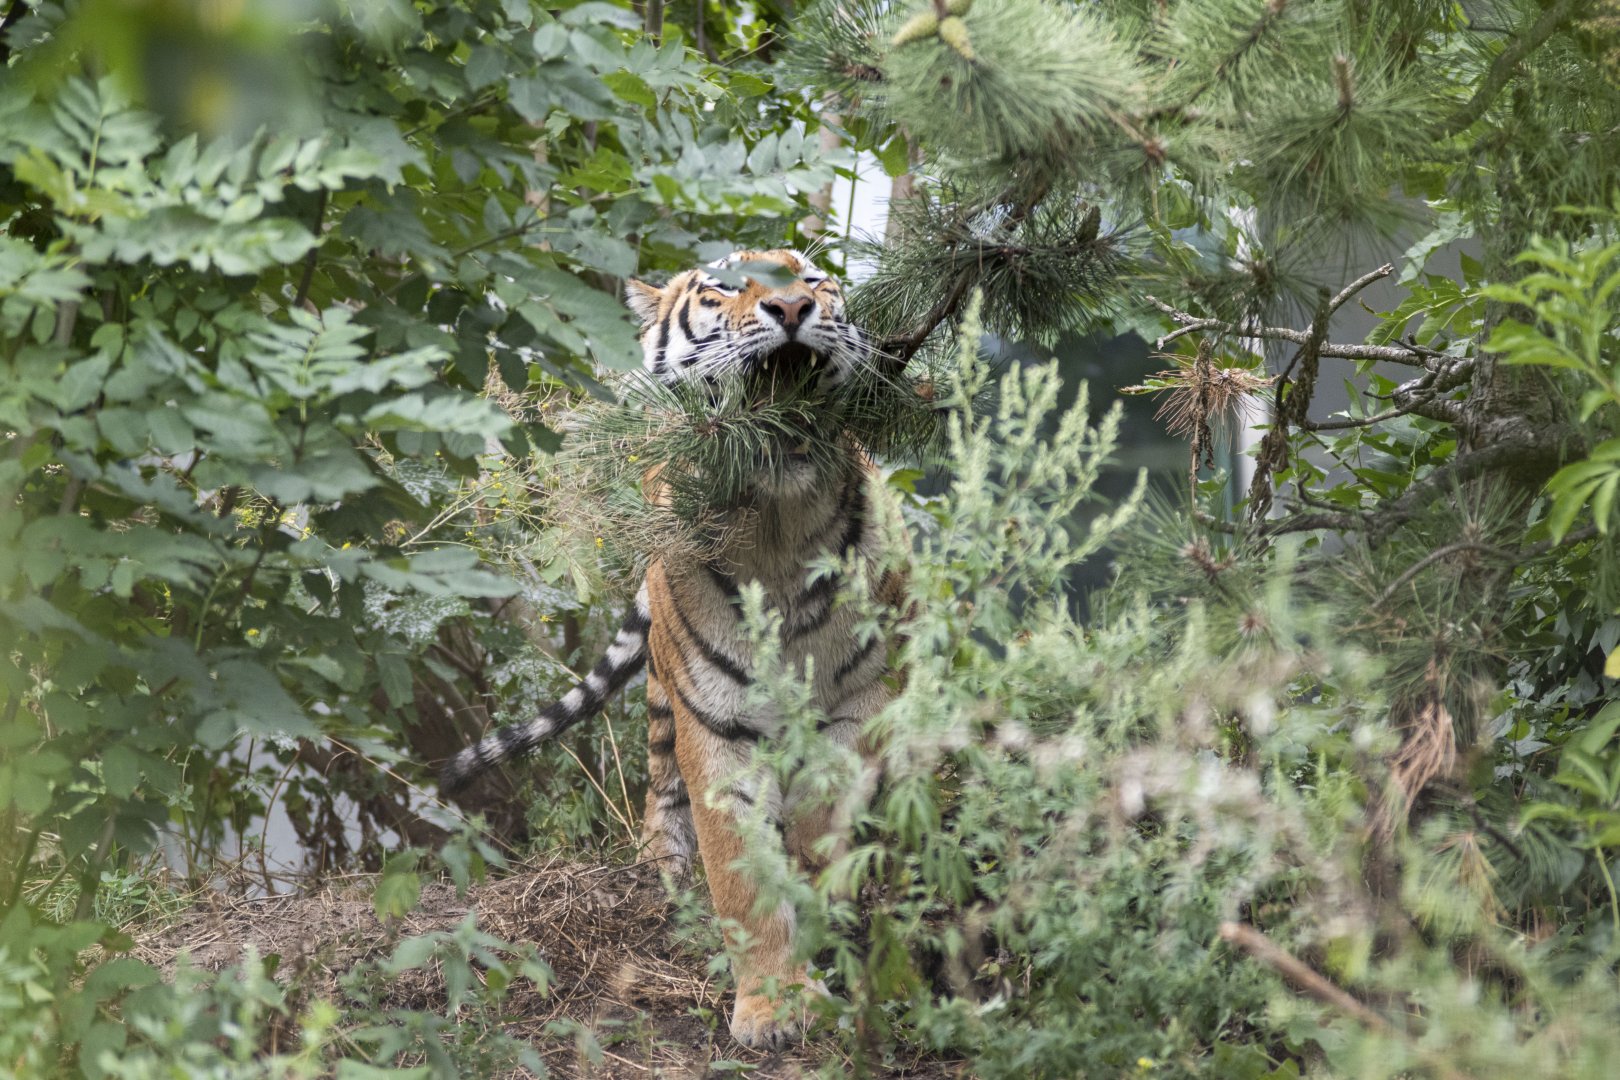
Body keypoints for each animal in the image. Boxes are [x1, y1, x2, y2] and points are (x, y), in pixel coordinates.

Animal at [441, 249, 909, 1049]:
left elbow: (821, 838)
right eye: (725, 285)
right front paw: (771, 1006)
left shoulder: (857, 705)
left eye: (814, 279)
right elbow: (742, 873)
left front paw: (824, 924)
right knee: (662, 792)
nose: (793, 308)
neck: (780, 528)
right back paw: (664, 875)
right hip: (668, 698)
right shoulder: (718, 727)